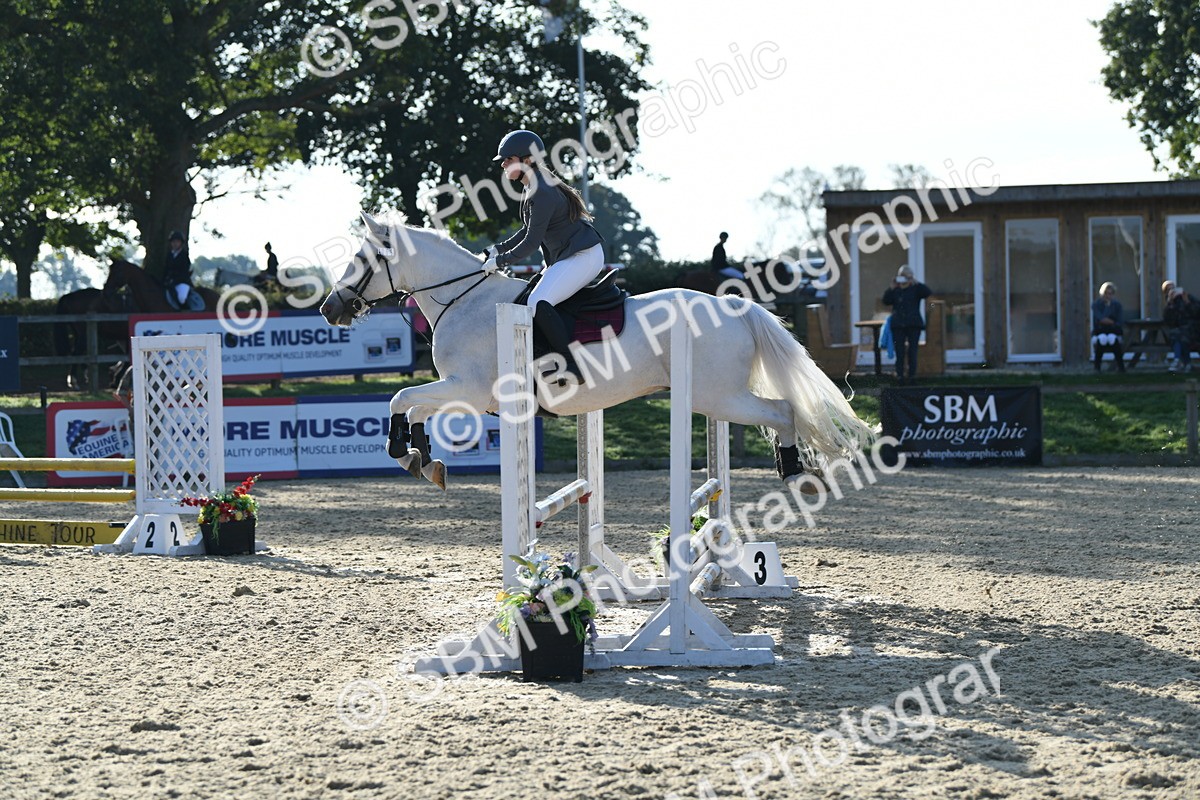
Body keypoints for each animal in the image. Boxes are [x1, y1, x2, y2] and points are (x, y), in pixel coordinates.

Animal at [318, 213, 874, 490]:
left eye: (363, 259)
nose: (330, 308)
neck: (464, 298)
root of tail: (734, 307)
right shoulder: (464, 394)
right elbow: (411, 406)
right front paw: (422, 457)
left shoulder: (469, 391)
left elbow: (400, 398)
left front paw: (403, 450)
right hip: (717, 397)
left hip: (717, 397)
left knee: (782, 411)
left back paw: (793, 472)